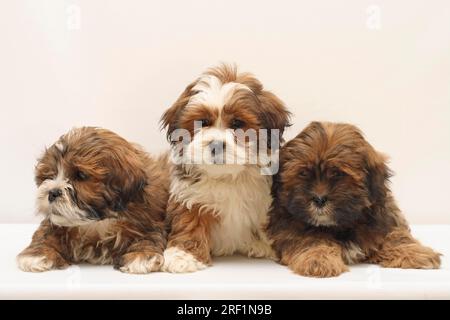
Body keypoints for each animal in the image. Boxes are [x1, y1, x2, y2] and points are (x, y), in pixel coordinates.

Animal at [17, 126, 169, 274]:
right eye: (50, 175)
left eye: (81, 175)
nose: (53, 192)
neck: (98, 223)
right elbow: (45, 231)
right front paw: (37, 253)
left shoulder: (149, 220)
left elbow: (149, 235)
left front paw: (141, 255)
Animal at [160, 63, 290, 272]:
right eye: (203, 122)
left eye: (237, 123)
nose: (216, 145)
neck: (226, 177)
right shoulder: (190, 195)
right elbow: (189, 222)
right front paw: (183, 255)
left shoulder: (264, 200)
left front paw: (265, 244)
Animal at [268, 122, 440, 278]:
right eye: (303, 173)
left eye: (338, 174)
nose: (319, 199)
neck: (342, 224)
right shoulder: (290, 228)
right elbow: (311, 240)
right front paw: (318, 259)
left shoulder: (384, 220)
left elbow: (395, 236)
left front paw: (416, 252)